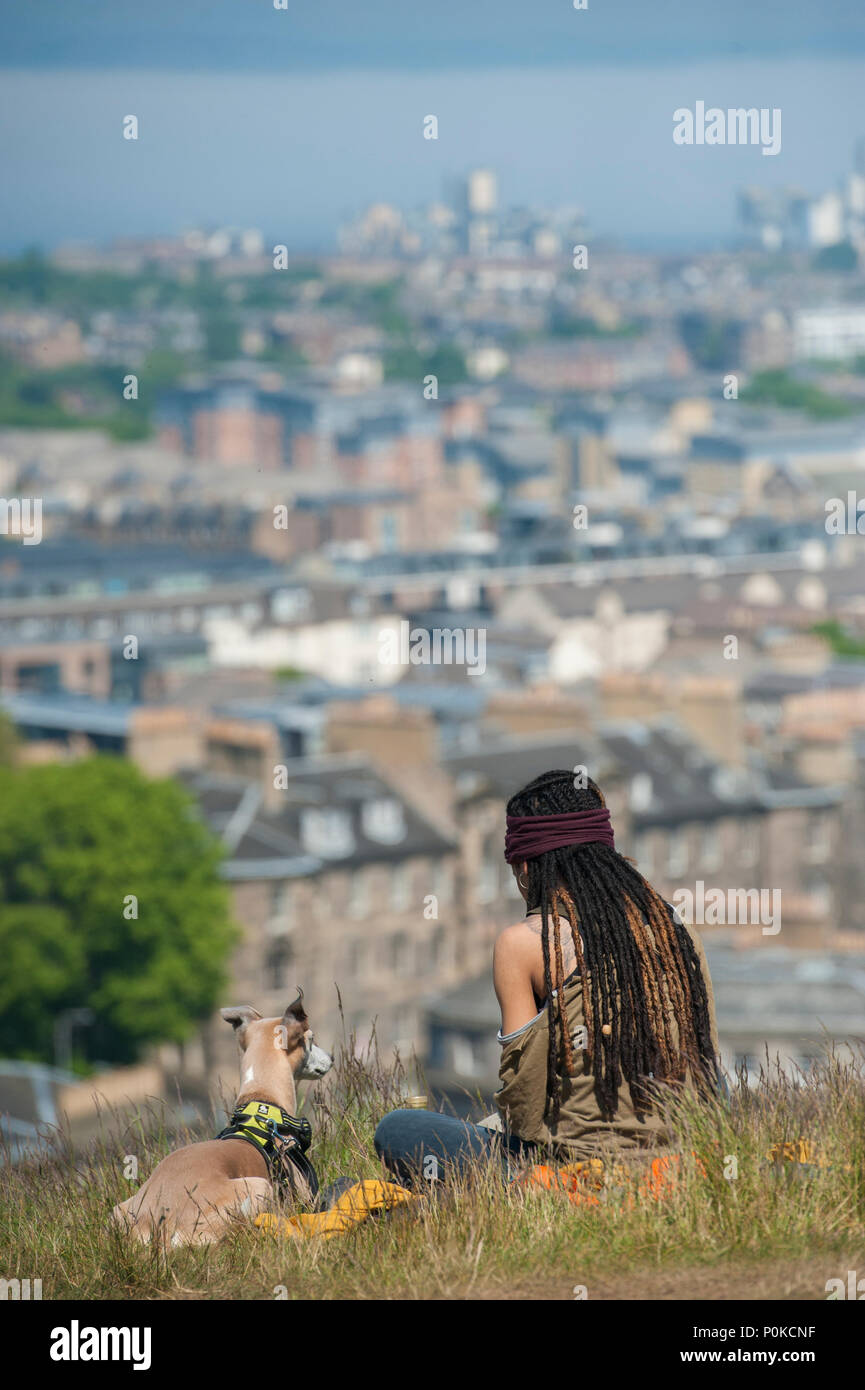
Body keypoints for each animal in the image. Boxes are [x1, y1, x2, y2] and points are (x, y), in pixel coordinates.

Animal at [111, 1000, 332, 1251]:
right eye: (311, 1038)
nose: (331, 1058)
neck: (262, 1102)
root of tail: (163, 1220)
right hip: (259, 1186)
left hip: (117, 1211)